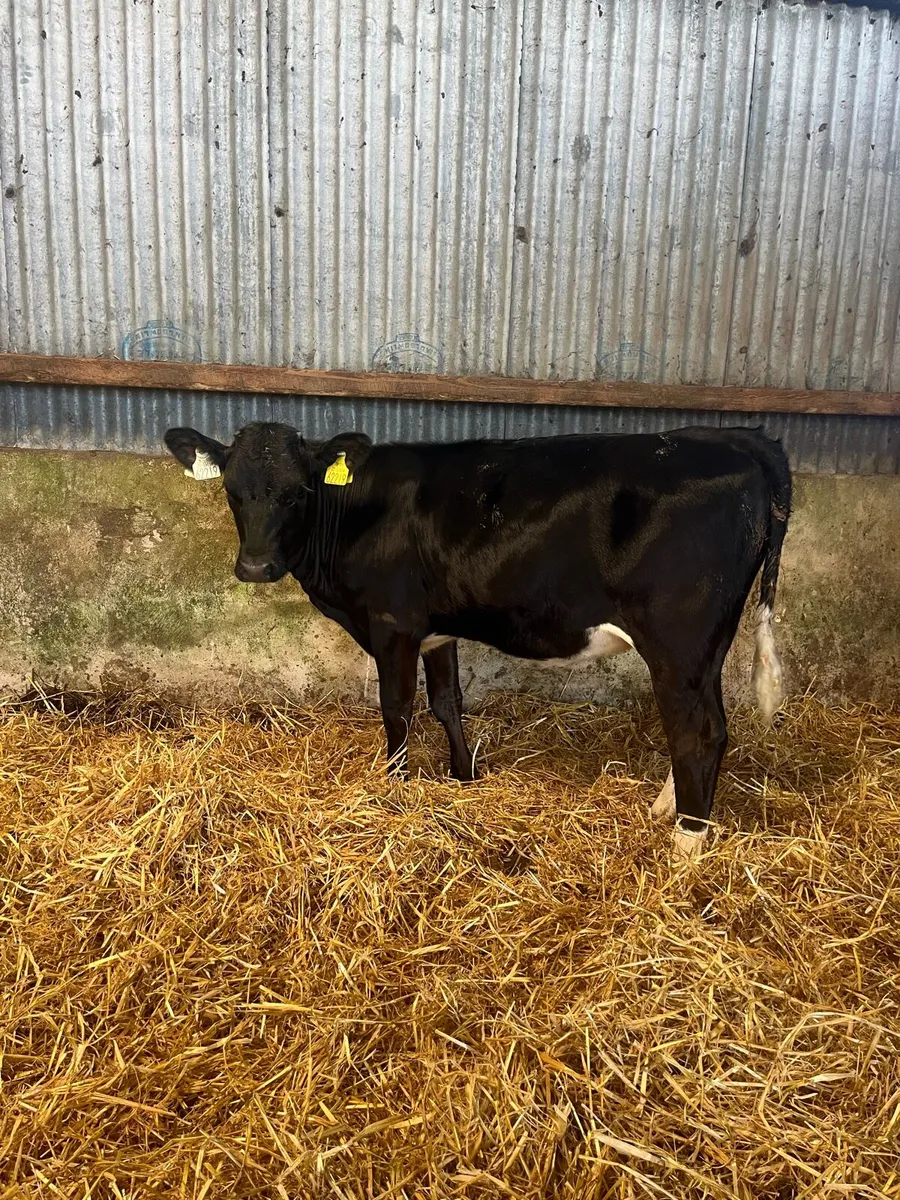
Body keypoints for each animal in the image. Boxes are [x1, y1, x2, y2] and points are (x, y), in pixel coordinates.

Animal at [164, 421, 791, 861]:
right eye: (233, 490)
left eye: (296, 493)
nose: (255, 567)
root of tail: (733, 437)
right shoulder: (437, 627)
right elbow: (448, 702)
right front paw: (462, 777)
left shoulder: (392, 623)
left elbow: (397, 708)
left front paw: (395, 787)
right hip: (703, 648)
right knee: (705, 725)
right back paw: (669, 811)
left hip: (678, 639)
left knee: (697, 732)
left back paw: (685, 846)